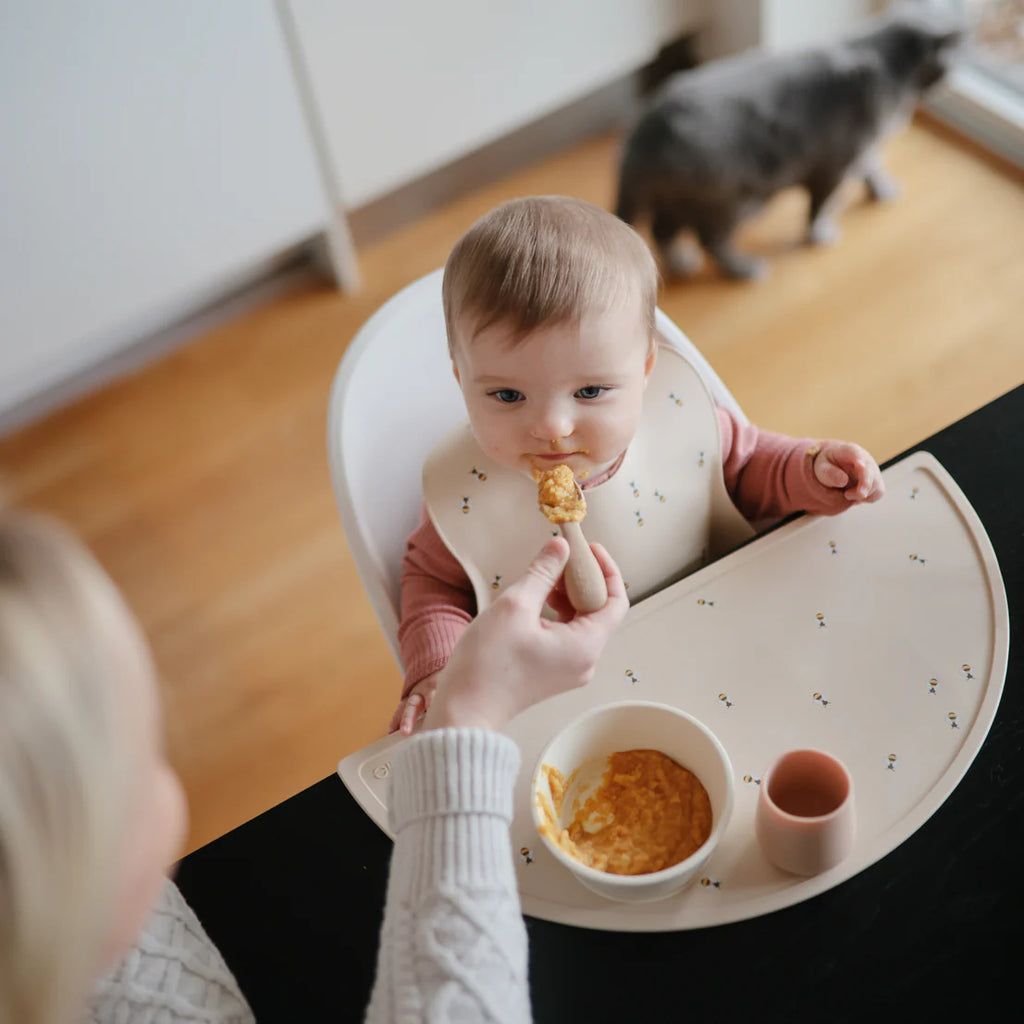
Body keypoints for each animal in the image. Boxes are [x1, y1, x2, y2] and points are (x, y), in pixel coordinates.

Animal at [614, 3, 958, 280]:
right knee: (709, 239)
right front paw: (820, 233)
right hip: (736, 200)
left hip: (682, 199)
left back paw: (681, 263)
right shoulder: (836, 164)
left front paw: (882, 189)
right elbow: (821, 205)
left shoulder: (864, 150)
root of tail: (645, 128)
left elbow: (873, 167)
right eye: (954, 58)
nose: (952, 78)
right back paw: (744, 268)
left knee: (661, 229)